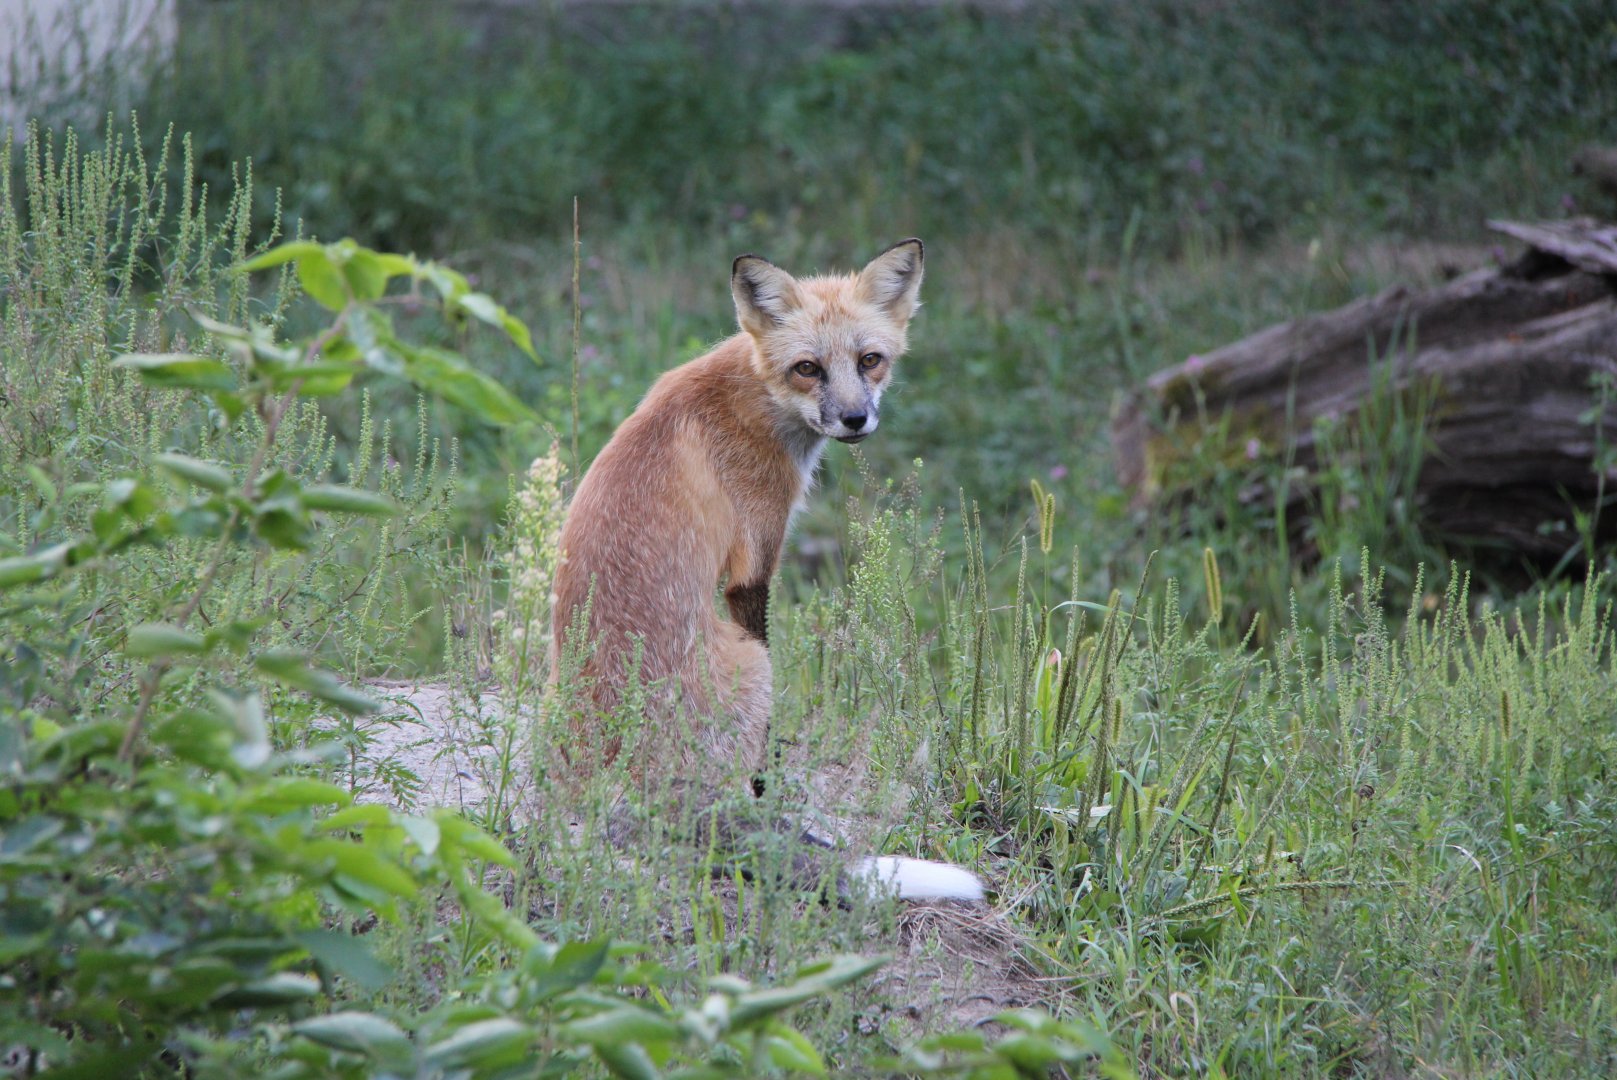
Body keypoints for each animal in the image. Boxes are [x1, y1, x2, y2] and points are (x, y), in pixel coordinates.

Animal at [549, 239, 982, 903]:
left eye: (870, 360)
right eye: (808, 368)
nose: (854, 420)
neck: (749, 396)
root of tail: (619, 778)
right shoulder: (753, 565)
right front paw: (770, 785)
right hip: (751, 664)